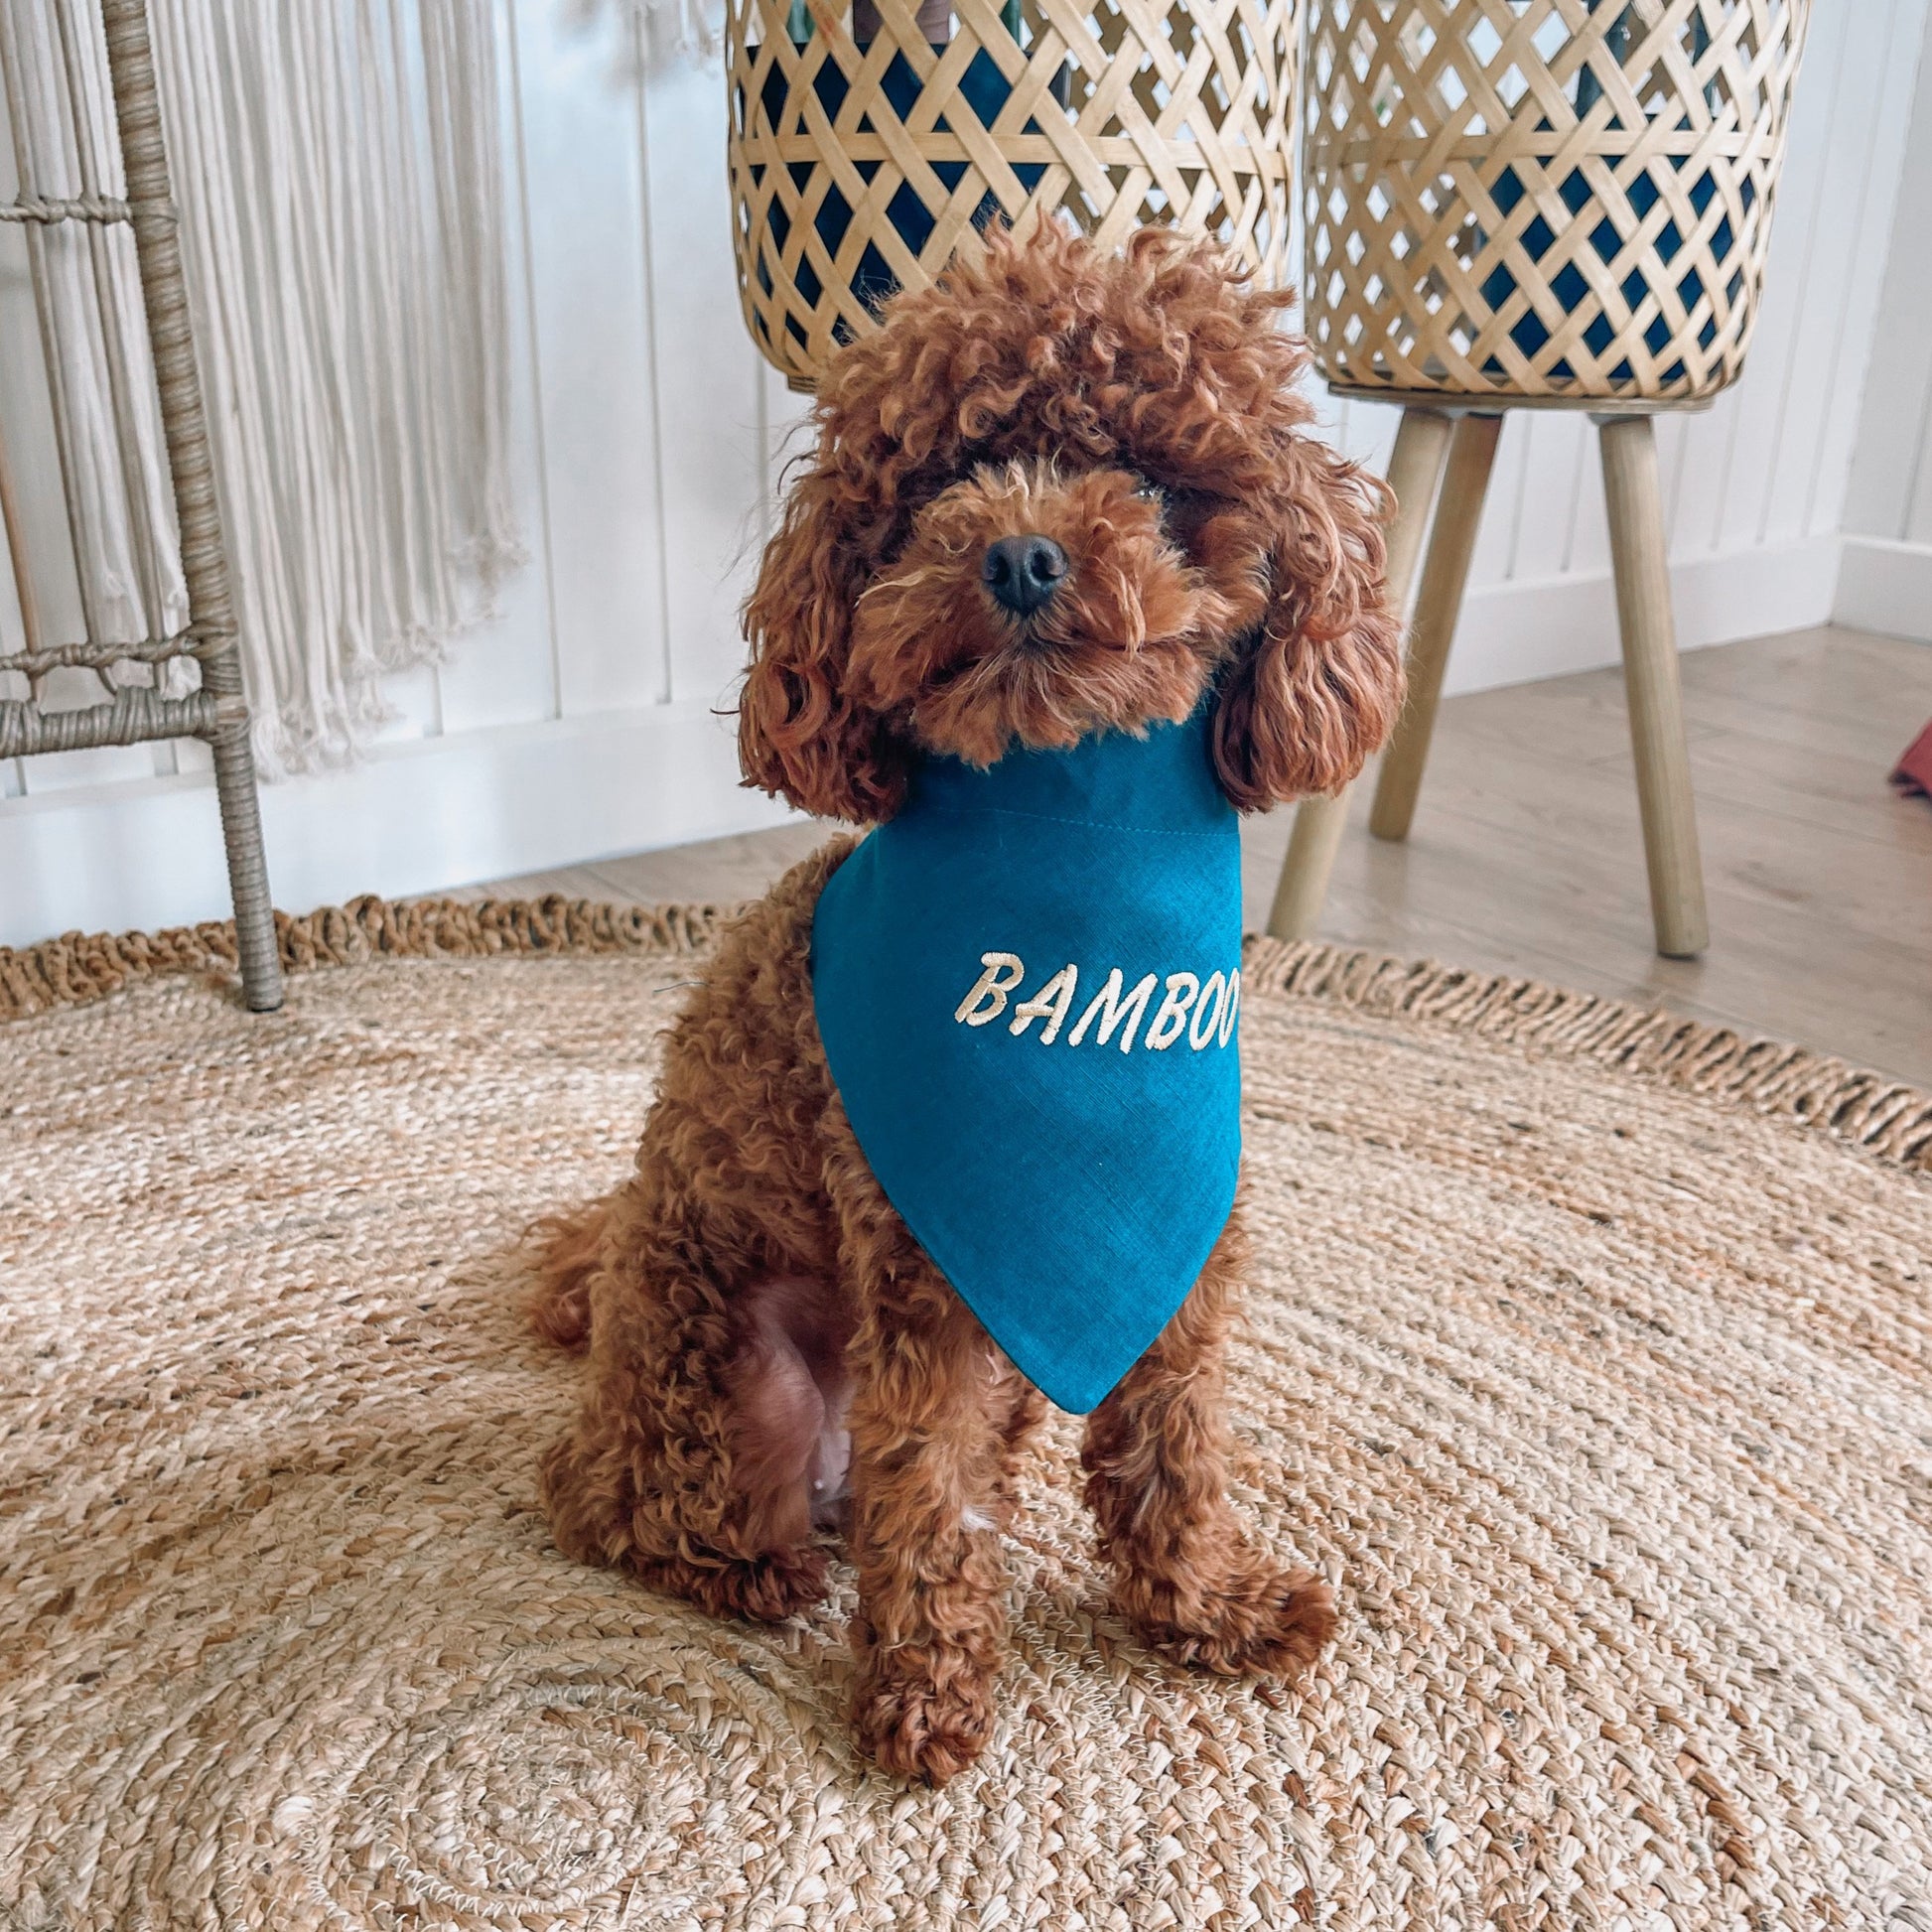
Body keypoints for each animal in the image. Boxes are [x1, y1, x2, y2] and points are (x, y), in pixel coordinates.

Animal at [533, 221, 1406, 1777]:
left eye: (1153, 479)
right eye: (939, 480)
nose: (1018, 552)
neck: (1062, 841)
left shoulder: (1179, 1265)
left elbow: (1168, 1448)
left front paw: (1206, 1606)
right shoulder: (918, 1288)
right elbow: (921, 1497)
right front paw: (928, 1692)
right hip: (731, 1376)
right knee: (626, 1507)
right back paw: (757, 1571)